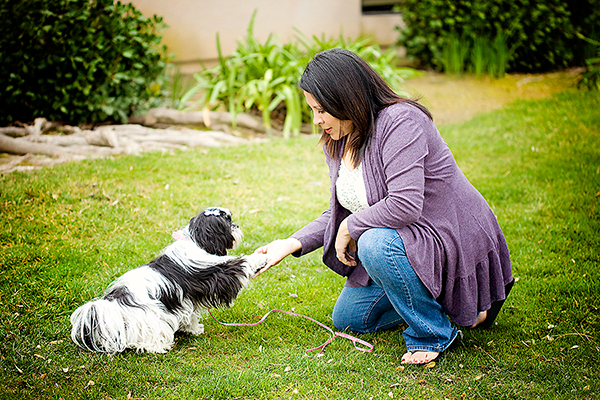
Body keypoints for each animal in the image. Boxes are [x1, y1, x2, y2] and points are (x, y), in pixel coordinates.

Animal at [69, 208, 268, 354]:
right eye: (227, 221)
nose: (236, 225)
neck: (196, 241)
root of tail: (113, 303)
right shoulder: (216, 273)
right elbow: (240, 263)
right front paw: (260, 258)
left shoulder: (186, 299)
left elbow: (190, 315)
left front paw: (193, 329)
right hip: (150, 317)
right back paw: (158, 346)